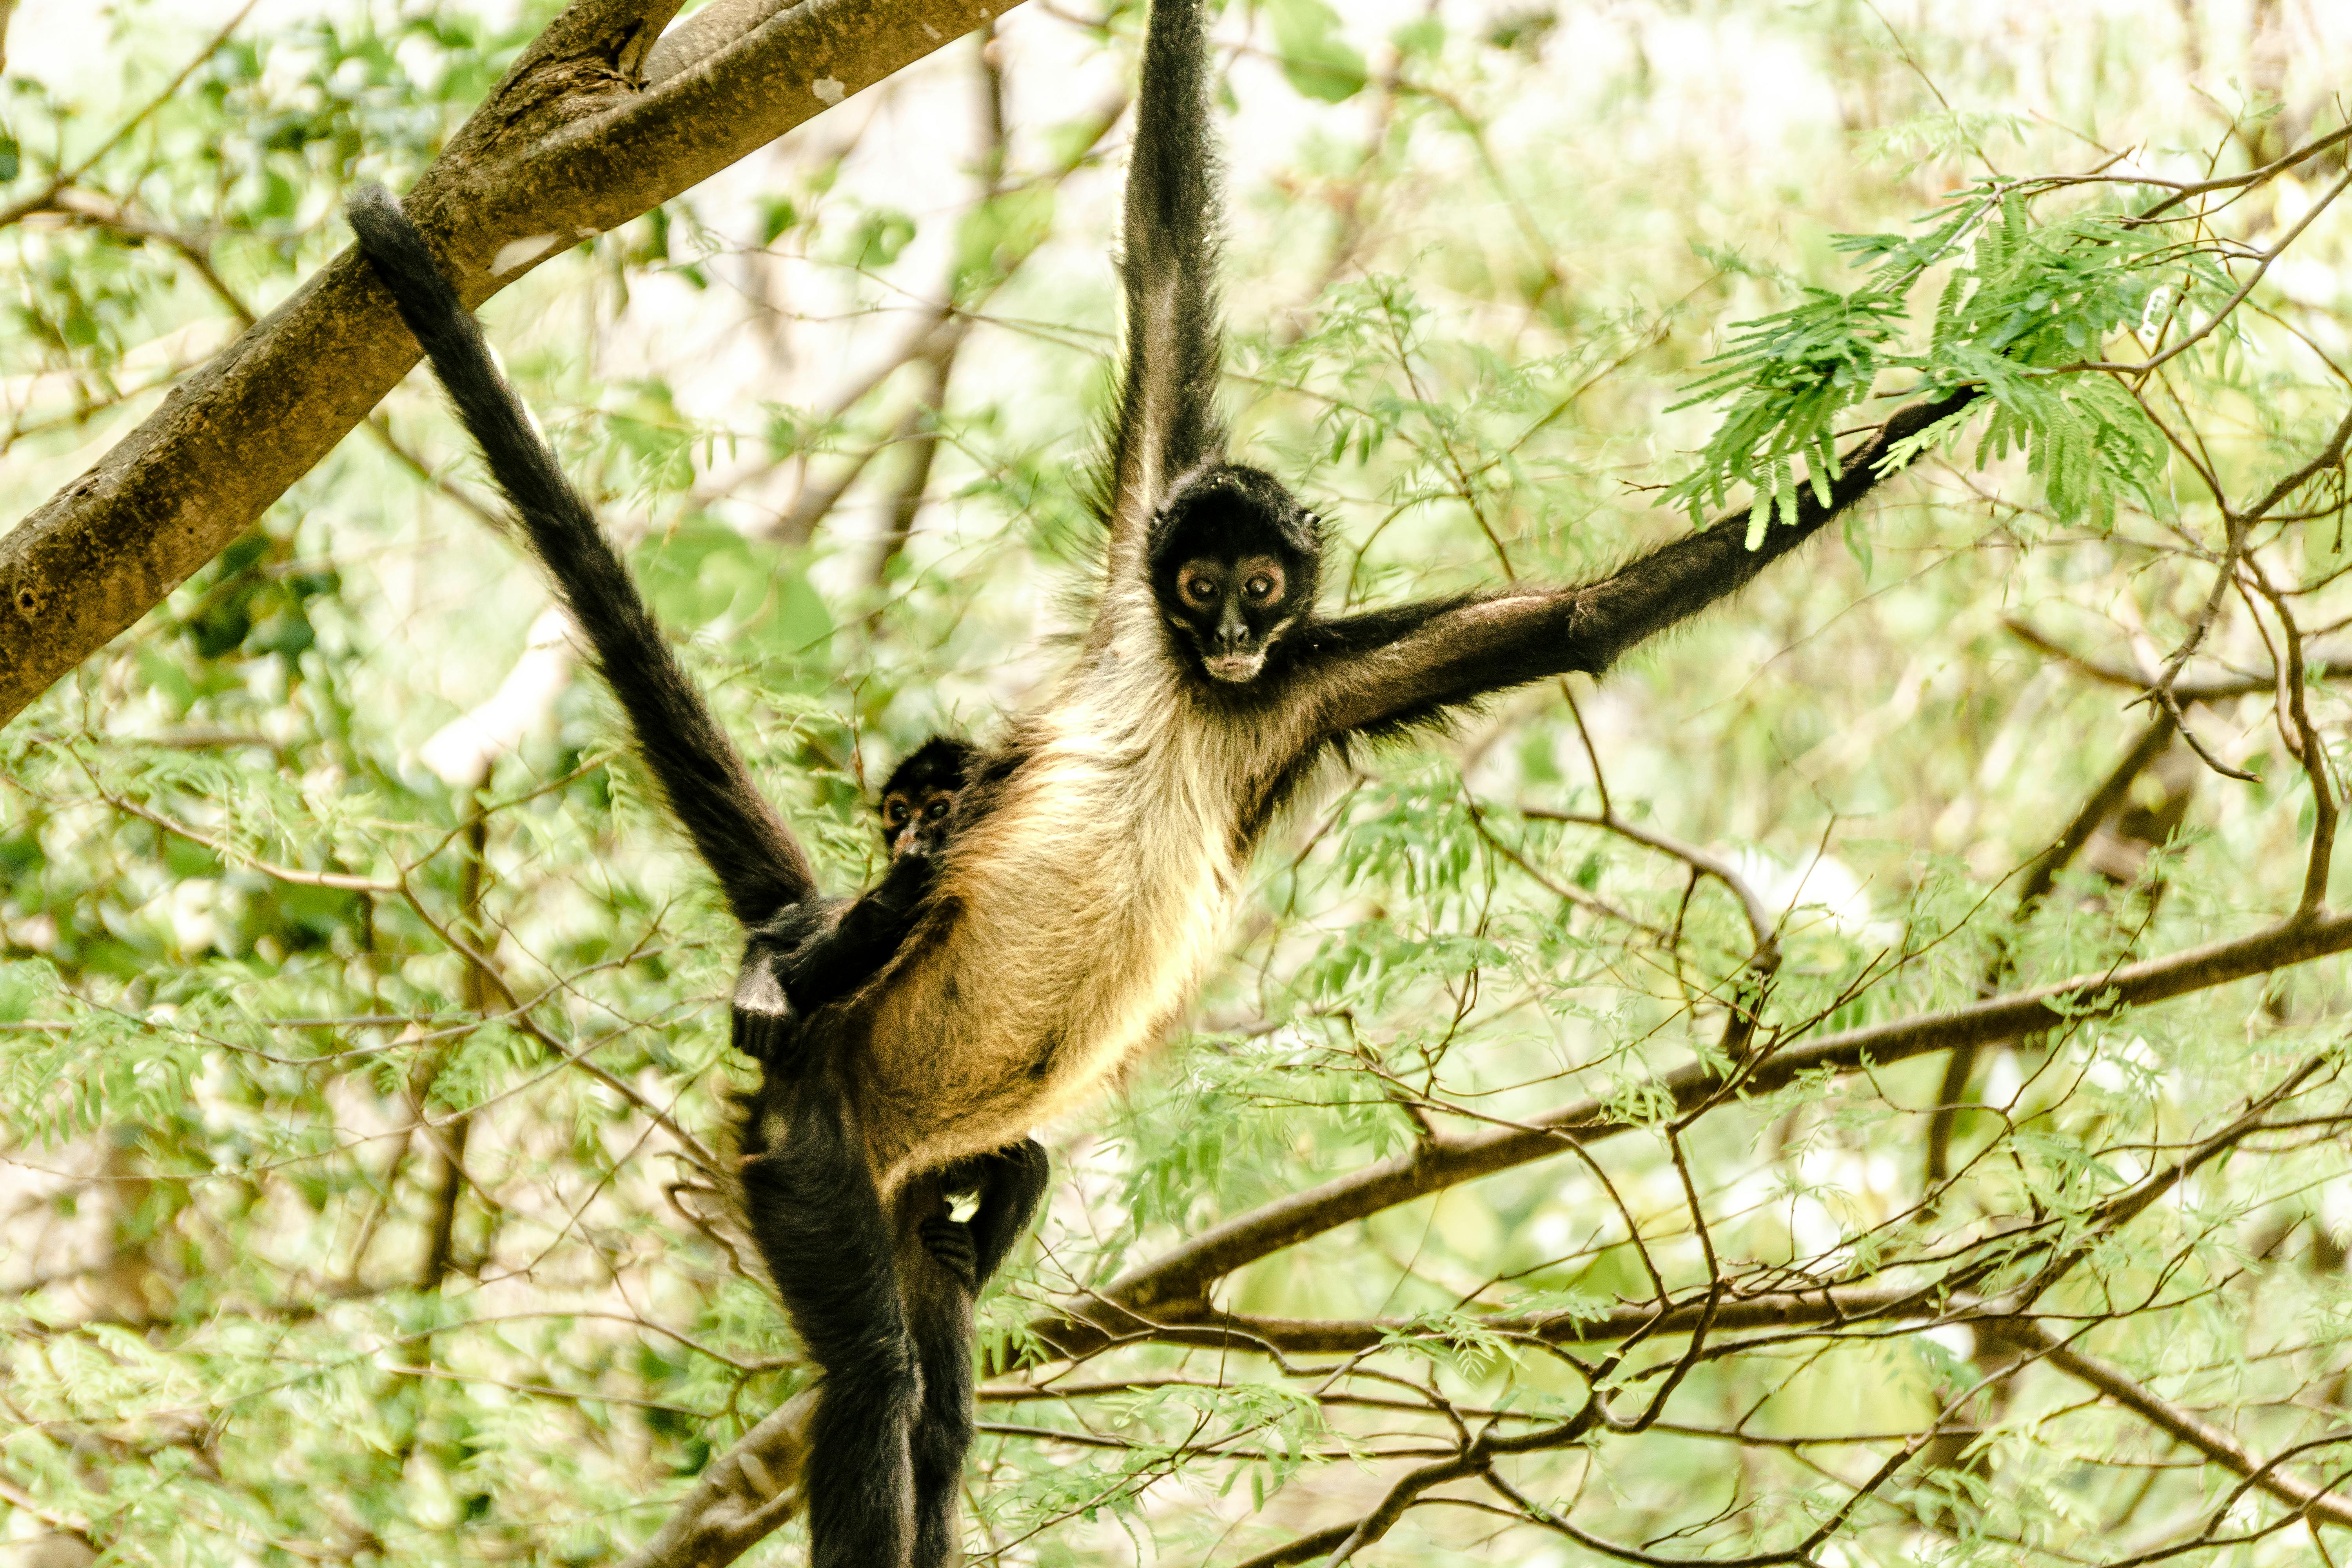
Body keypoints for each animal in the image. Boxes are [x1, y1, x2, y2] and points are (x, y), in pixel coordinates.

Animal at [343, 0, 1966, 1561]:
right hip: (808, 1144)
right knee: (876, 1368)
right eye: (1197, 586)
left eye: (1261, 584)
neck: (1191, 696)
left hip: (906, 1182)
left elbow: (1576, 622)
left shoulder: (1308, 685)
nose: (1236, 635)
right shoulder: (1155, 613)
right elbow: (1163, 257)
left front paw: (1916, 417)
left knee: (938, 1372)